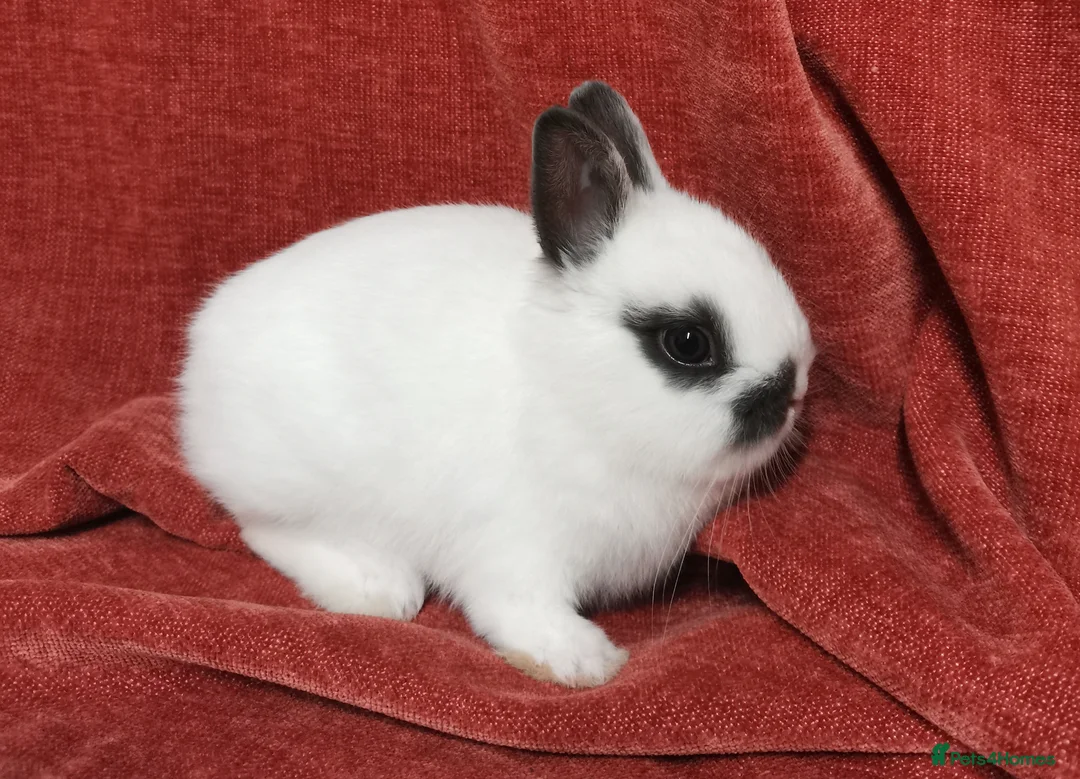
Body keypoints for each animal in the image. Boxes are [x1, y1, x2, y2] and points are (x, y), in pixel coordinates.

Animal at [177, 81, 814, 688]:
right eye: (687, 342)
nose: (793, 391)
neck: (571, 394)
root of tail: (203, 347)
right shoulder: (515, 550)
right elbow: (521, 611)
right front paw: (584, 662)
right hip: (306, 481)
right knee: (264, 529)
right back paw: (379, 587)